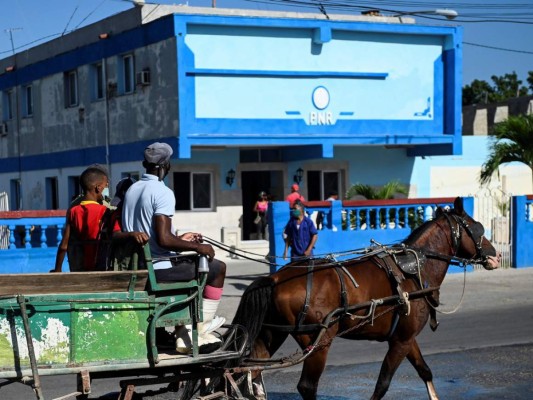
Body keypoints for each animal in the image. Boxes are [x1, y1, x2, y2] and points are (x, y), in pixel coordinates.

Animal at [232, 198, 498, 400]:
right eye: (476, 228)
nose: (494, 255)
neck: (415, 269)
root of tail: (275, 278)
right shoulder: (400, 342)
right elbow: (383, 384)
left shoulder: (406, 338)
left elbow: (425, 371)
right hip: (319, 342)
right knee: (306, 386)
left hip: (272, 334)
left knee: (252, 372)